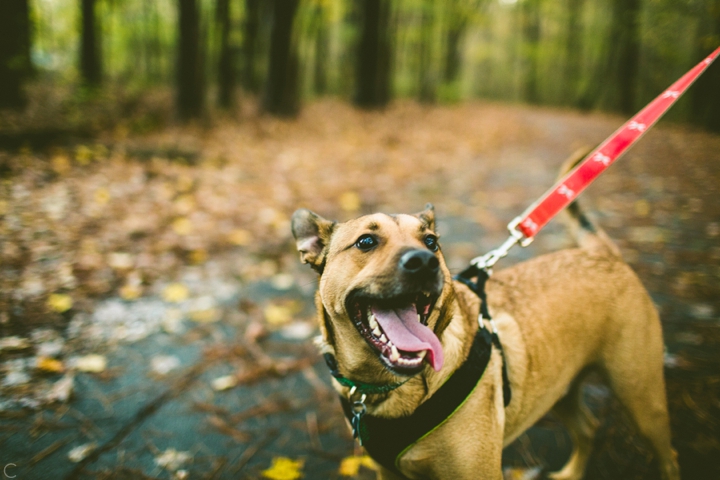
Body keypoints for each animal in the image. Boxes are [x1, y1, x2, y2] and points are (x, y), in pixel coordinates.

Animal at [290, 170, 676, 480]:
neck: (388, 388)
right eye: (366, 242)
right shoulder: (389, 473)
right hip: (561, 388)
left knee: (666, 454)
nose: (425, 261)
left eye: (431, 242)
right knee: (588, 429)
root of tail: (605, 255)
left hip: (642, 397)